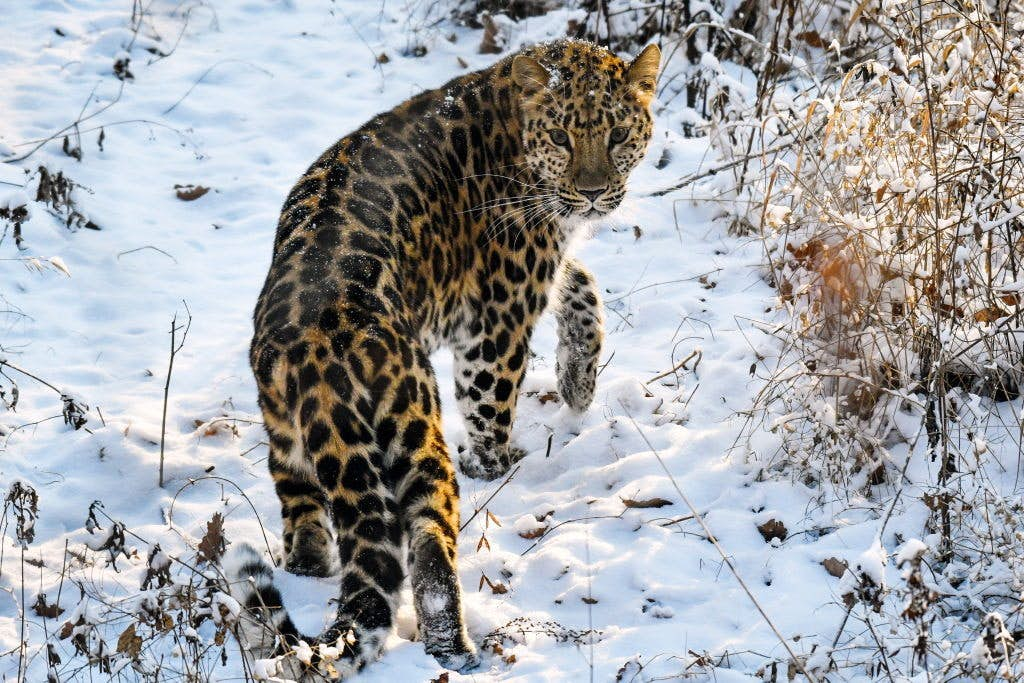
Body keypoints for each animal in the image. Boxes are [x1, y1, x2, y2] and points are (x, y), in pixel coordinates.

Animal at [224, 38, 659, 683]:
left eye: (618, 135)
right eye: (561, 136)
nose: (591, 192)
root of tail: (319, 349)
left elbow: (578, 279)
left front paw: (579, 378)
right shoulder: (495, 322)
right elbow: (491, 404)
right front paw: (497, 466)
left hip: (286, 437)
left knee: (305, 520)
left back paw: (309, 567)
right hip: (416, 434)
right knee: (429, 555)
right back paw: (456, 650)